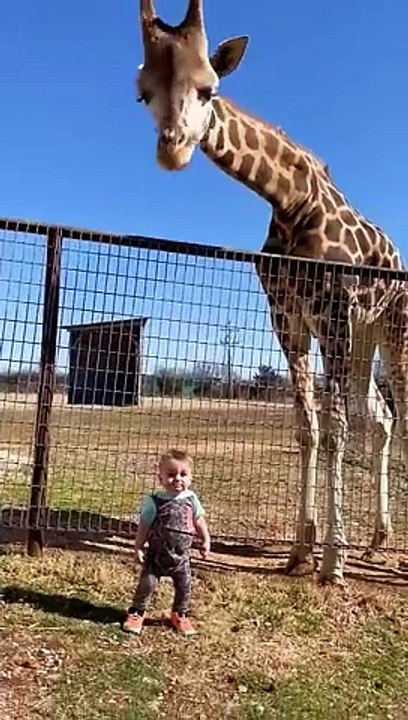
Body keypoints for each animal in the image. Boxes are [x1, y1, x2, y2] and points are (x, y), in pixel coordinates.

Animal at [136, 0, 408, 584]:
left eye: (209, 89)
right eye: (143, 93)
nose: (173, 150)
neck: (290, 203)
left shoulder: (330, 313)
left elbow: (335, 430)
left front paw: (332, 561)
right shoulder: (287, 319)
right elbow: (308, 429)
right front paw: (301, 549)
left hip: (392, 328)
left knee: (398, 410)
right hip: (364, 335)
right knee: (381, 416)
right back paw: (380, 537)